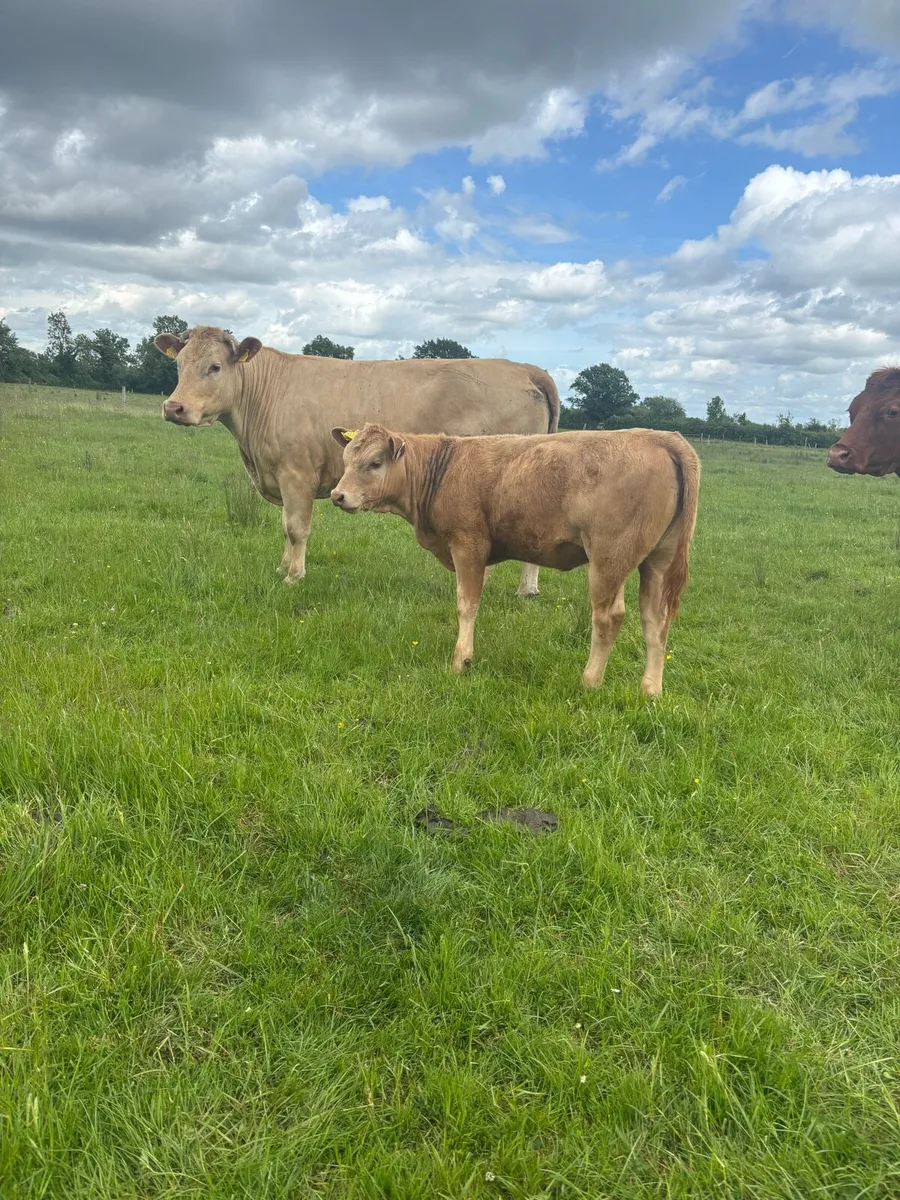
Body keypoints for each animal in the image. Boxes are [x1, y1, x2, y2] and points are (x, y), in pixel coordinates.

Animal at [155, 326, 559, 597]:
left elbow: (296, 528)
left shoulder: (295, 474)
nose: (174, 407)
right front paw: (282, 567)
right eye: (180, 365)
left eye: (214, 367)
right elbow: (285, 526)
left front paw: (293, 577)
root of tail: (525, 367)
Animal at [330, 424, 700, 695]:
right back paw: (650, 690)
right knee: (655, 620)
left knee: (609, 618)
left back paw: (590, 681)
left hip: (609, 557)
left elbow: (467, 604)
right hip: (657, 559)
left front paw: (460, 661)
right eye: (346, 459)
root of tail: (660, 437)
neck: (444, 468)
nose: (337, 495)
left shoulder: (468, 545)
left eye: (375, 463)